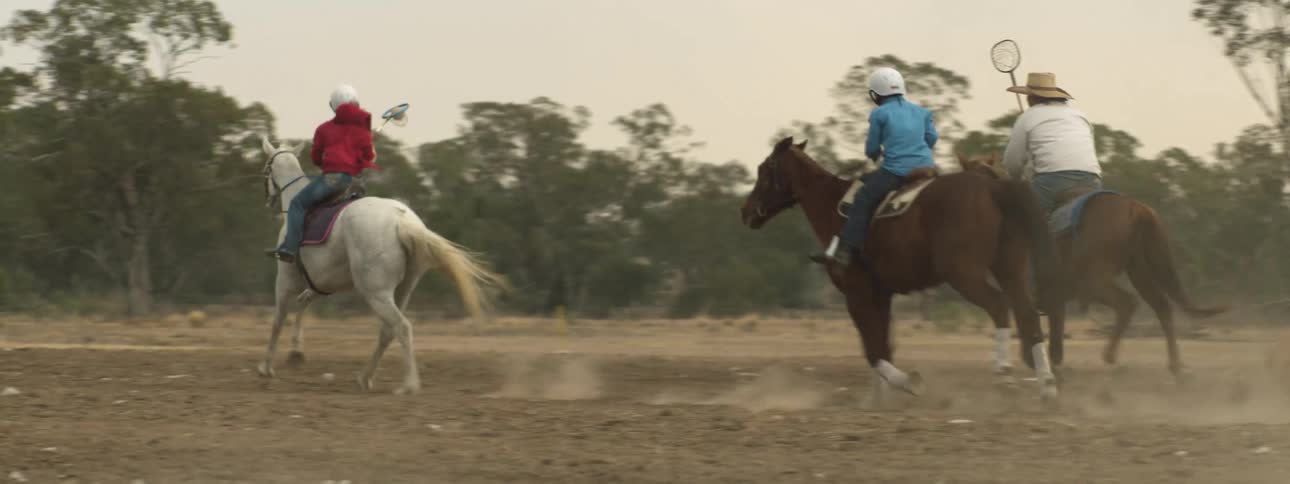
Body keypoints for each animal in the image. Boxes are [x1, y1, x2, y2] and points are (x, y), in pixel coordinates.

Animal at [256, 137, 506, 394]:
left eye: (266, 168)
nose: (268, 200)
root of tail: (402, 221)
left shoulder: (285, 280)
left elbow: (278, 319)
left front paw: (266, 367)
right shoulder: (322, 284)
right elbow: (302, 303)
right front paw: (296, 353)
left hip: (375, 292)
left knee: (401, 327)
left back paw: (408, 385)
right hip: (402, 290)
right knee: (388, 331)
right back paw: (365, 378)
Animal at [741, 137, 1063, 405]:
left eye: (764, 169)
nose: (746, 212)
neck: (834, 208)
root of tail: (994, 187)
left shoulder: (856, 293)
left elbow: (873, 350)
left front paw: (908, 382)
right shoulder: (881, 294)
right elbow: (883, 343)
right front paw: (879, 399)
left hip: (964, 273)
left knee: (999, 306)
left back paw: (1005, 376)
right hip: (1010, 267)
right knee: (1027, 314)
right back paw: (1047, 385)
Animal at [959, 153, 1230, 381]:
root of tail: (1136, 208)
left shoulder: (1026, 288)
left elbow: (1032, 323)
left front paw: (1036, 362)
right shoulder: (1055, 296)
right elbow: (1055, 331)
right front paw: (1052, 364)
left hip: (1096, 280)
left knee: (1128, 303)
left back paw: (1111, 357)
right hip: (1138, 269)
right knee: (1161, 306)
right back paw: (1176, 367)